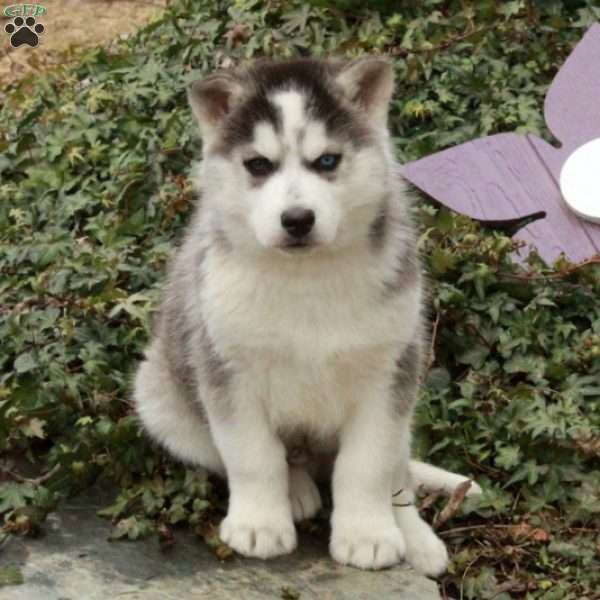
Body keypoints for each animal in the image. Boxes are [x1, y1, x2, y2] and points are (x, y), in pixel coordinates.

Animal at [134, 58, 480, 576]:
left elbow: (368, 466)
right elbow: (254, 456)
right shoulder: (227, 370)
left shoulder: (389, 371)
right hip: (160, 399)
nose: (297, 219)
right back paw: (297, 491)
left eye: (328, 162)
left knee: (398, 476)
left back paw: (417, 539)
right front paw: (259, 525)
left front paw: (368, 536)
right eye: (258, 165)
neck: (306, 279)